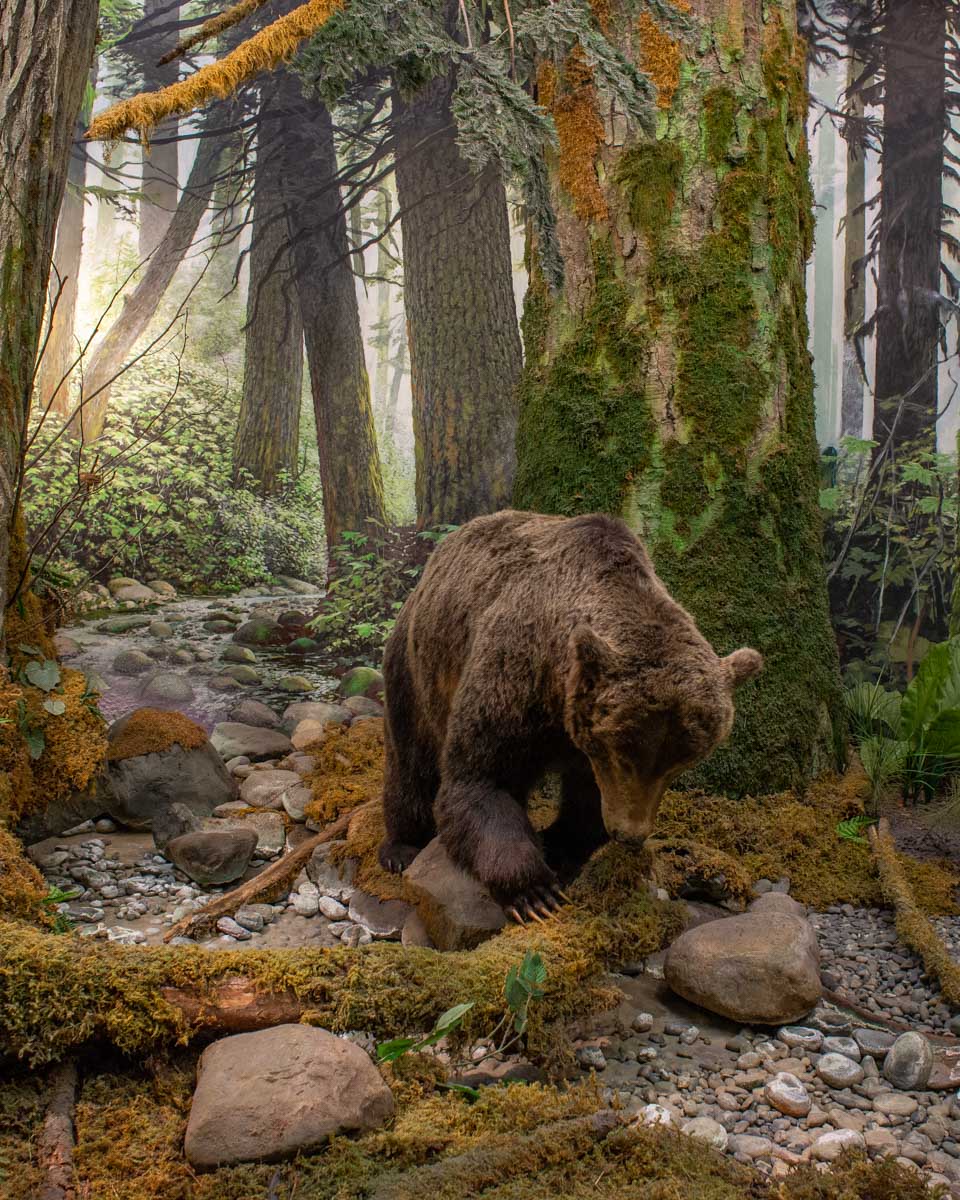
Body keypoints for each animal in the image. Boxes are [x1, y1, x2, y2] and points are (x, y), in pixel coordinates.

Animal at [377, 510, 762, 922]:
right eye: (626, 754)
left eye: (679, 763)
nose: (630, 834)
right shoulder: (515, 680)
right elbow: (480, 780)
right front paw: (535, 893)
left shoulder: (583, 736)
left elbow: (586, 802)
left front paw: (559, 849)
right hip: (415, 666)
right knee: (411, 758)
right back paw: (401, 847)